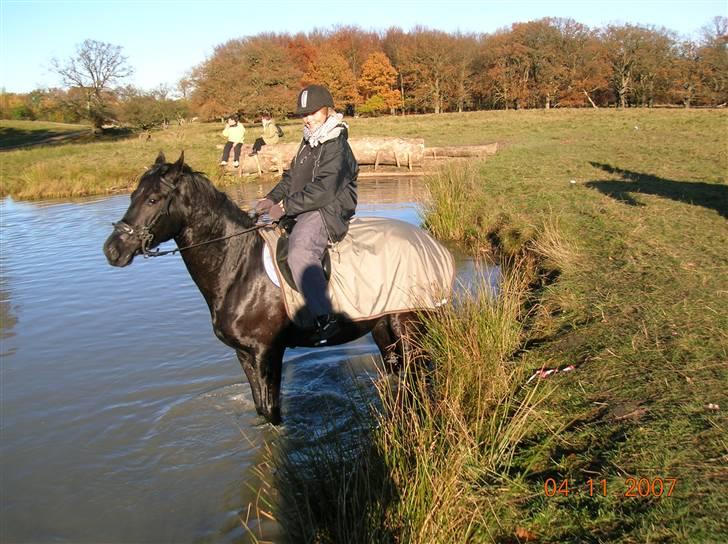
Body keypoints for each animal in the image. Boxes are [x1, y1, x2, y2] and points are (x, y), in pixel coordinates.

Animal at [104, 153, 420, 424]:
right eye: (133, 196)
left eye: (153, 199)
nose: (112, 250)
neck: (240, 268)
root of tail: (423, 239)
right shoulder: (244, 354)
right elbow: (260, 408)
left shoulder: (266, 352)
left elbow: (272, 412)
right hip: (381, 328)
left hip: (406, 326)